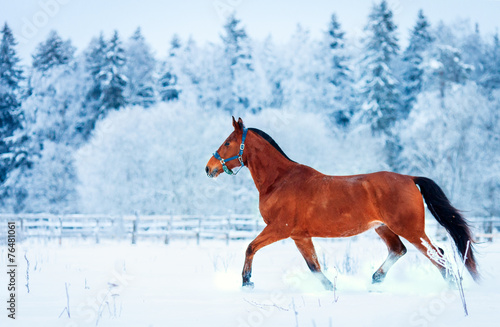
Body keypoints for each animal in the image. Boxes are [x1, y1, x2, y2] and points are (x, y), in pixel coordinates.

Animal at [205, 118, 478, 292]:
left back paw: (451, 287)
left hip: (410, 228)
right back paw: (375, 280)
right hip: (383, 227)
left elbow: (250, 247)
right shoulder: (299, 235)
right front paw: (329, 287)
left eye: (227, 142)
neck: (280, 181)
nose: (209, 168)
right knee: (399, 250)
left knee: (437, 255)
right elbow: (314, 265)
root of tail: (410, 178)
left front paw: (246, 282)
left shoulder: (280, 229)